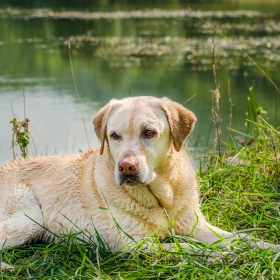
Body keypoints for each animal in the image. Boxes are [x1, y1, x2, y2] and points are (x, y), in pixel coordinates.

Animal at [1, 95, 278, 270]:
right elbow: (187, 249)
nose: (126, 167)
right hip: (30, 219)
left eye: (149, 132)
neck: (161, 198)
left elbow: (243, 238)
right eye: (114, 135)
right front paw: (220, 256)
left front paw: (268, 247)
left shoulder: (197, 227)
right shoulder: (137, 244)